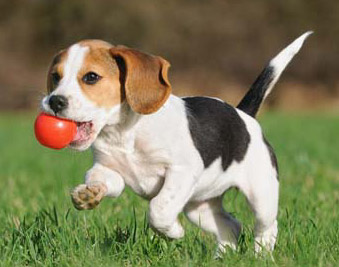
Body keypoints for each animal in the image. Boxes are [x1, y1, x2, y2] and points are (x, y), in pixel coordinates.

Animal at [41, 31, 312, 253]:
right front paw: (89, 194)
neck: (124, 133)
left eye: (91, 77)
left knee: (267, 227)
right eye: (55, 77)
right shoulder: (108, 169)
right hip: (199, 207)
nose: (54, 101)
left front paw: (173, 232)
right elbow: (101, 179)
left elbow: (159, 209)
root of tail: (243, 114)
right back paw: (221, 257)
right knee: (231, 226)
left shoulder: (182, 171)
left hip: (261, 194)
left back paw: (261, 255)